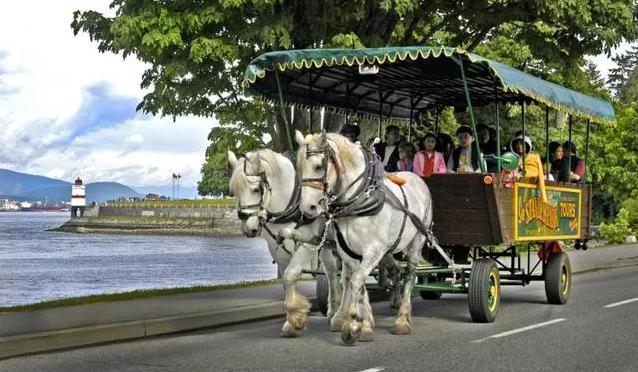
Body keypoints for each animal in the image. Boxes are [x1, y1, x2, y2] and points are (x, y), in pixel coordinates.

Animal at [228, 149, 342, 338]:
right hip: (326, 244)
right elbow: (286, 280)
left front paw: (295, 320)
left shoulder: (308, 244)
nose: (248, 229)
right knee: (332, 271)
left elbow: (290, 275)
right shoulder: (279, 251)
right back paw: (334, 311)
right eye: (234, 192)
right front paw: (293, 318)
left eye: (256, 189)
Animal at [296, 132, 436, 346]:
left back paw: (403, 320)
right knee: (395, 272)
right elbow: (357, 283)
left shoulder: (373, 249)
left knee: (410, 275)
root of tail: (417, 179)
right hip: (389, 248)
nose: (307, 208)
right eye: (299, 167)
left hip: (417, 240)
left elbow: (356, 281)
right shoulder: (349, 251)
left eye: (319, 166)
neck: (359, 197)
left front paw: (352, 326)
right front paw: (366, 324)